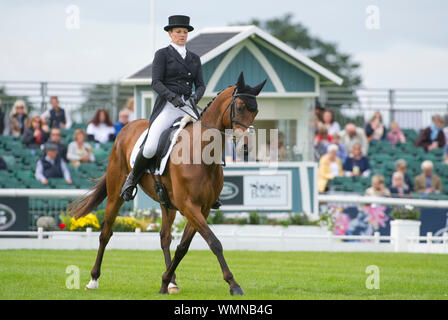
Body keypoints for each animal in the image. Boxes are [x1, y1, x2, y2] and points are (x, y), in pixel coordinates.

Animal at [68, 72, 266, 296]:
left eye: (256, 110)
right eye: (240, 107)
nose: (247, 147)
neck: (201, 153)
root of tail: (127, 127)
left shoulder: (202, 208)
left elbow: (183, 247)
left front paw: (165, 280)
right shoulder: (189, 206)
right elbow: (214, 242)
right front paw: (233, 284)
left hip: (167, 203)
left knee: (165, 237)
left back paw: (171, 283)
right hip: (115, 194)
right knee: (106, 233)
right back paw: (93, 280)